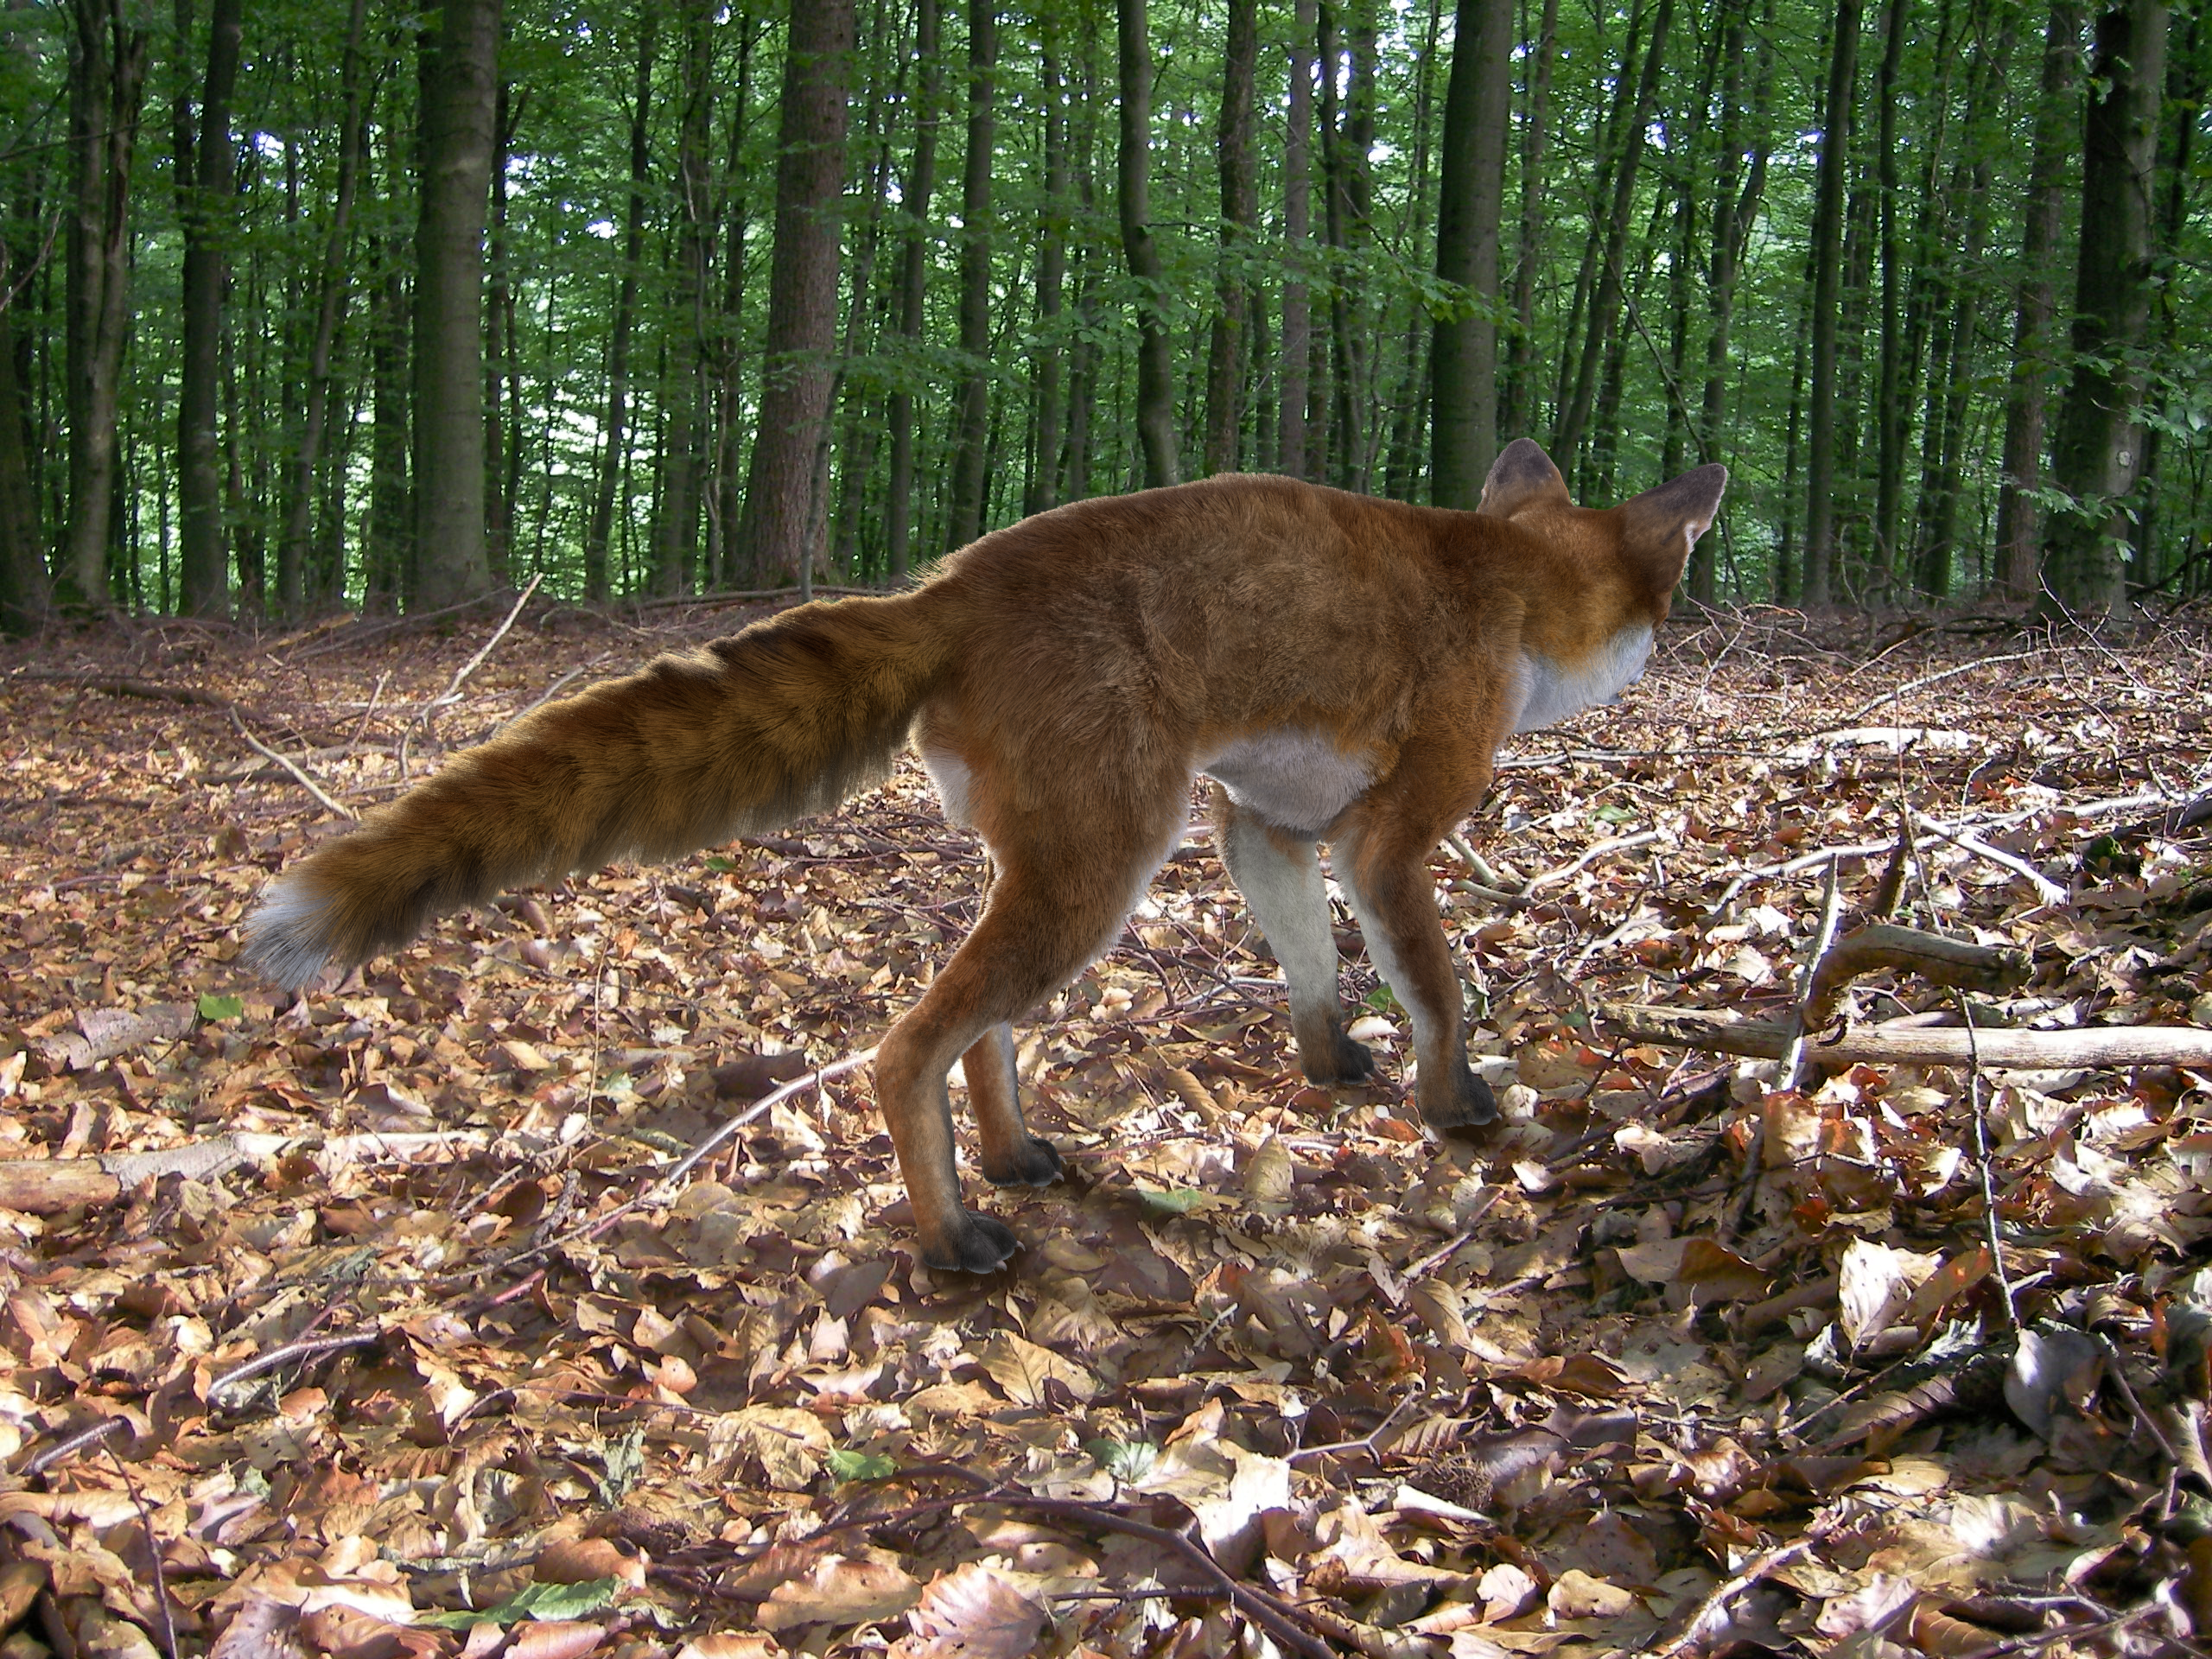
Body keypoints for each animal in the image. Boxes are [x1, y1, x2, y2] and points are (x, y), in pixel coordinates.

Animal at [244, 440, 1725, 1274]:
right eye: (1665, 610)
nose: (1681, 650)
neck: (1508, 587)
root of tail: (947, 587)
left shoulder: (1270, 824)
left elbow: (1314, 968)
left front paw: (1327, 1060)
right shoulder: (1391, 832)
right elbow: (1434, 983)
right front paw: (1458, 1102)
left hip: (1072, 859)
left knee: (981, 1032)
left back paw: (1006, 1160)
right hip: (1104, 866)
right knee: (911, 1047)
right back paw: (951, 1237)